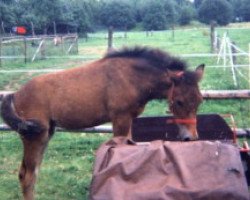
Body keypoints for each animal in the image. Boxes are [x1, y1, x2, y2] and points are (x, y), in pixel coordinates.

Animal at [0, 46, 204, 199]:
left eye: (200, 100)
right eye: (179, 101)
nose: (190, 137)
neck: (131, 77)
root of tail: (16, 94)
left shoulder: (128, 120)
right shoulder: (120, 119)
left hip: (46, 134)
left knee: (31, 174)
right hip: (34, 137)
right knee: (27, 176)